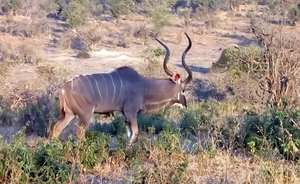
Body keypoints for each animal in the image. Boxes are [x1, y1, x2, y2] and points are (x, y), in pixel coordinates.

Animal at [49, 32, 192, 145]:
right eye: (183, 89)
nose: (185, 104)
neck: (144, 86)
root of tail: (63, 88)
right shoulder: (131, 112)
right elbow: (135, 133)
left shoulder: (125, 115)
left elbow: (129, 134)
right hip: (85, 114)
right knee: (79, 133)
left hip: (68, 114)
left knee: (55, 129)